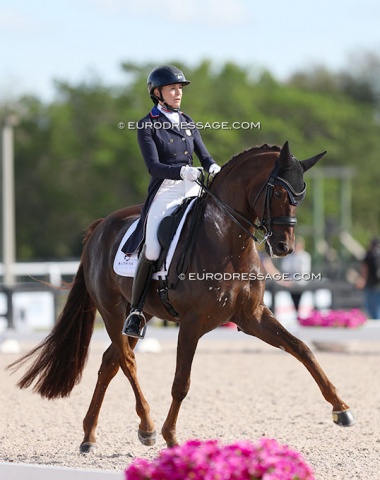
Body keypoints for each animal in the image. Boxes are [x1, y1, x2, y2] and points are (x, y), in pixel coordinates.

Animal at [8, 140, 354, 454]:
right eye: (280, 193)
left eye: (302, 194)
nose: (284, 247)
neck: (229, 241)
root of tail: (100, 227)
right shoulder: (192, 323)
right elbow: (181, 382)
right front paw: (170, 436)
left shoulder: (252, 317)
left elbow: (302, 349)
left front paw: (341, 409)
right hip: (111, 311)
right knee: (127, 361)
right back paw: (146, 428)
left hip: (141, 313)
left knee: (110, 362)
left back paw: (89, 435)